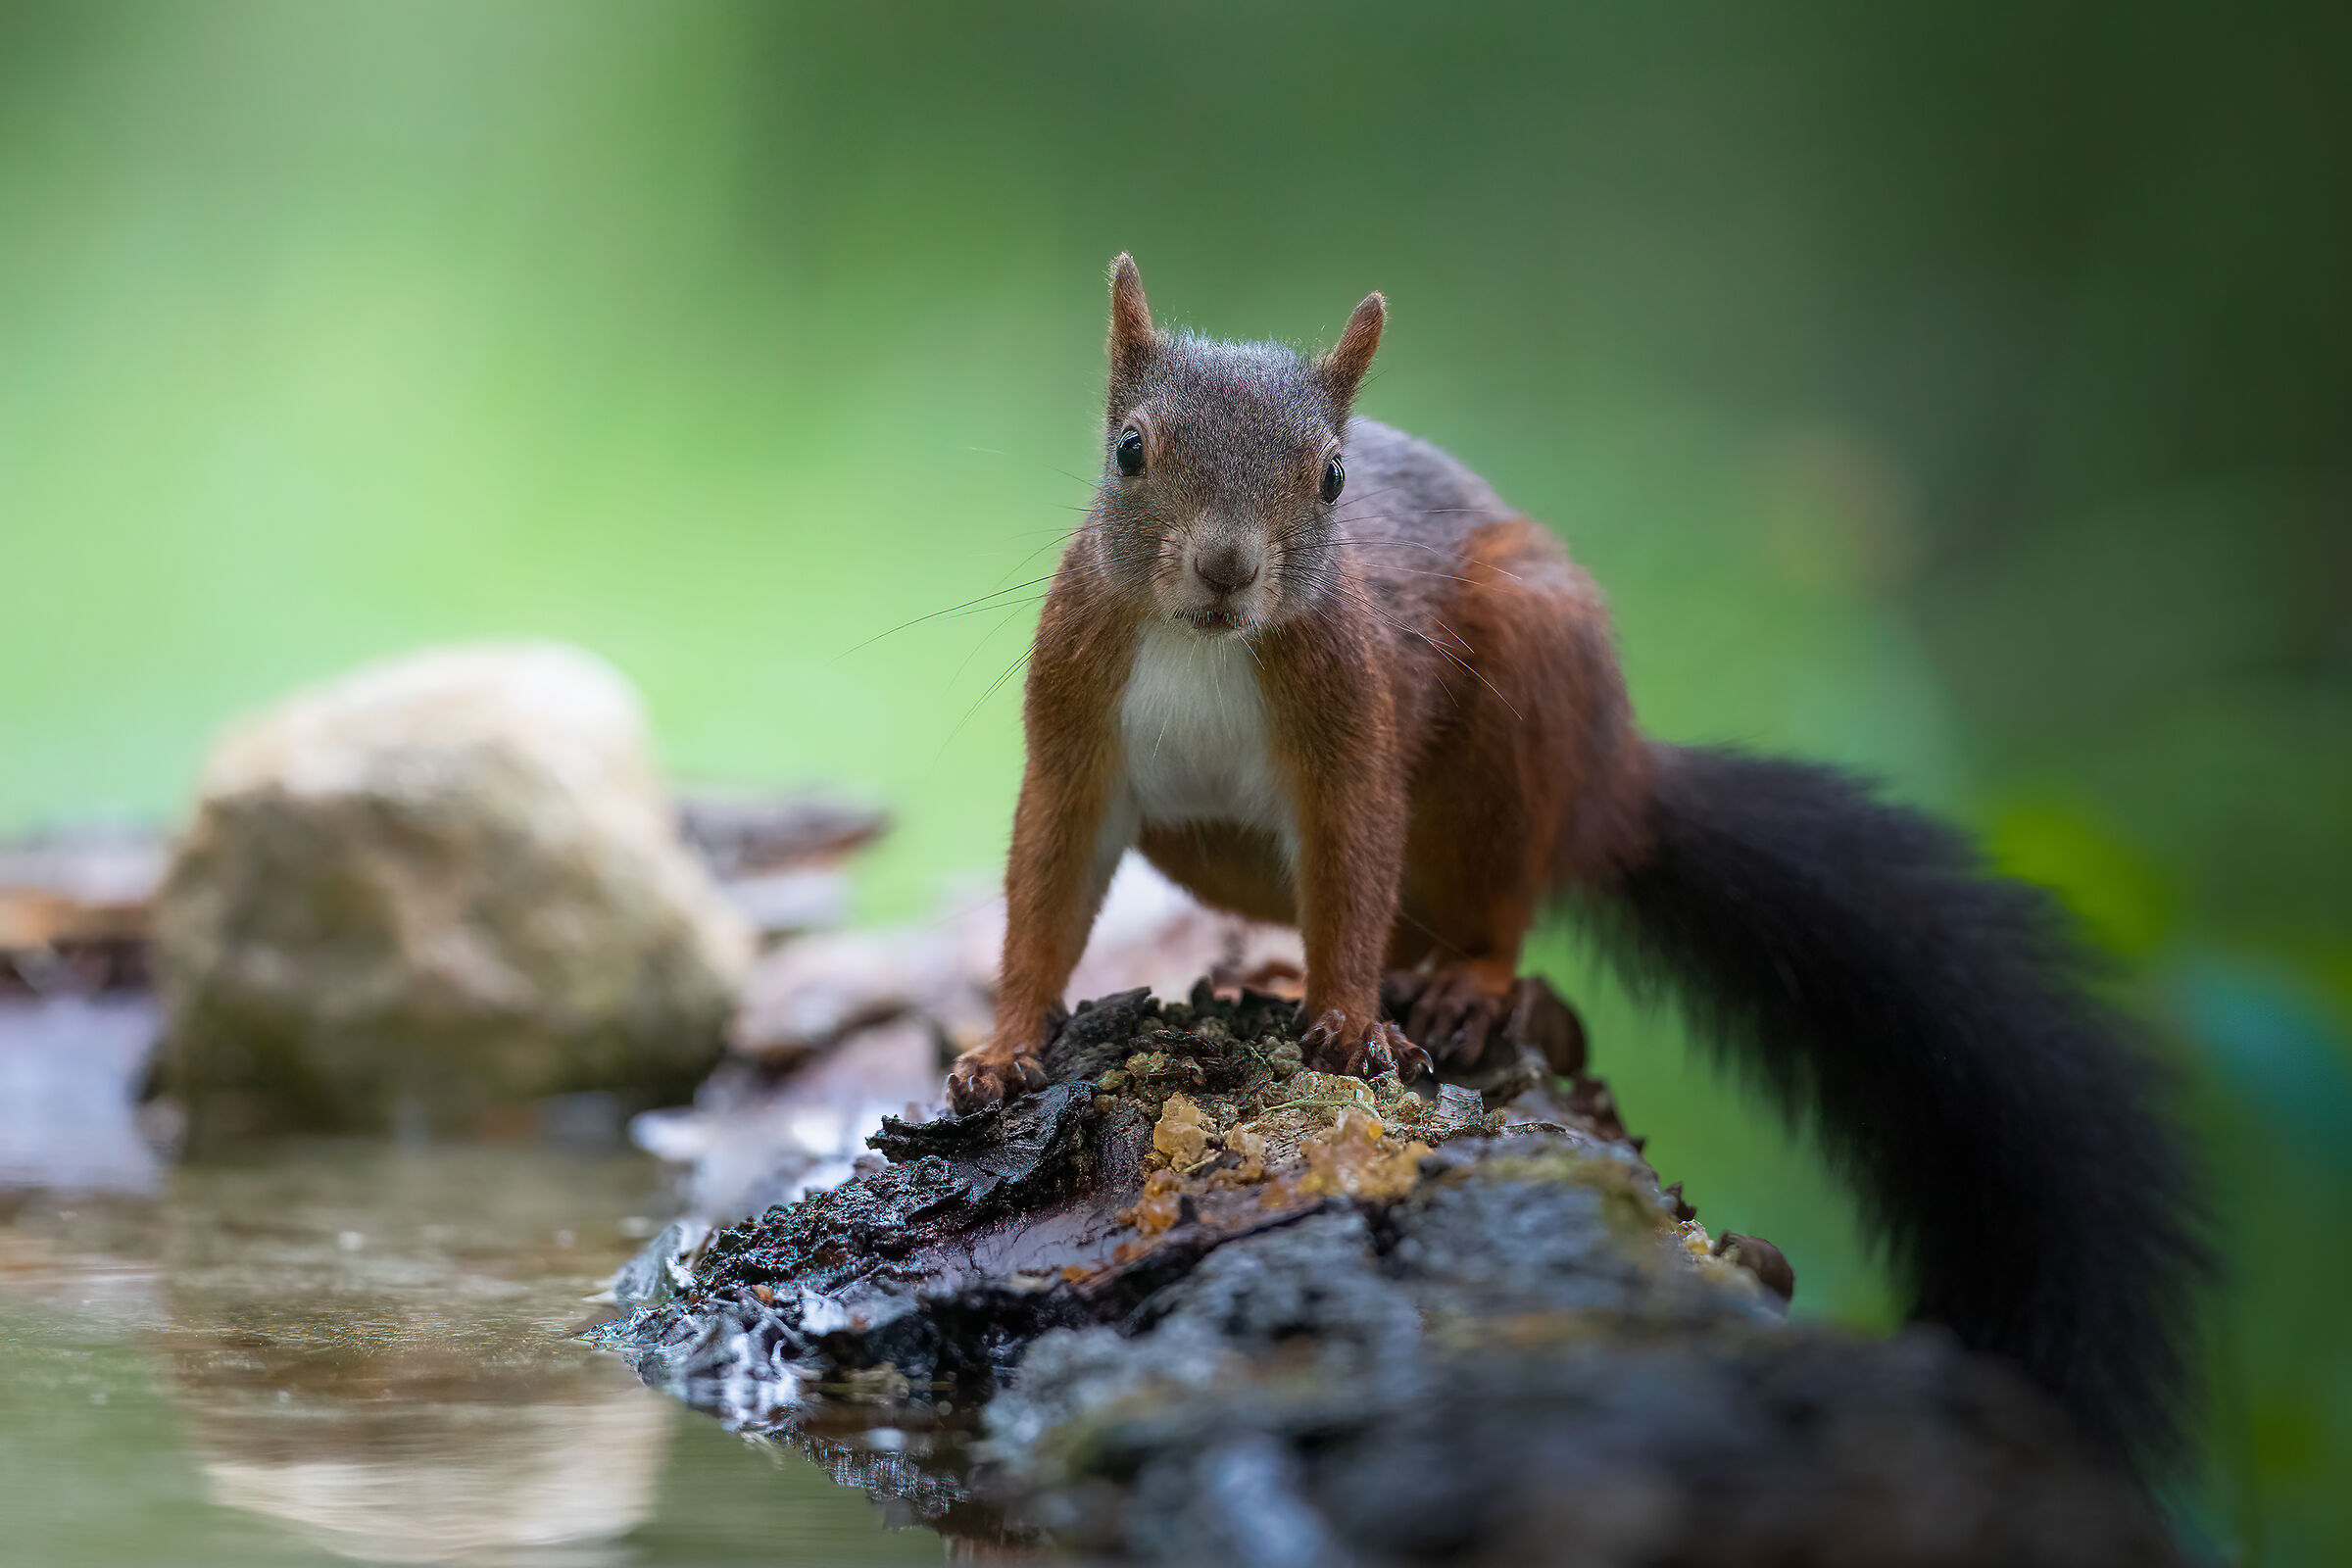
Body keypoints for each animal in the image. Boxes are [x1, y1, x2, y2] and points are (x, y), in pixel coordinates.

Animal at [947, 254, 2205, 1467]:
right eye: (1129, 448)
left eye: (1334, 477)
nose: (1223, 569)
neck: (1204, 645)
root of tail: (1612, 788)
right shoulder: (1077, 734)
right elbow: (1049, 884)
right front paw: (1005, 1049)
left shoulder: (1353, 723)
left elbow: (1355, 859)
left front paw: (1348, 1019)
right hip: (1215, 843)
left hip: (1527, 694)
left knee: (1498, 905)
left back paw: (1466, 988)